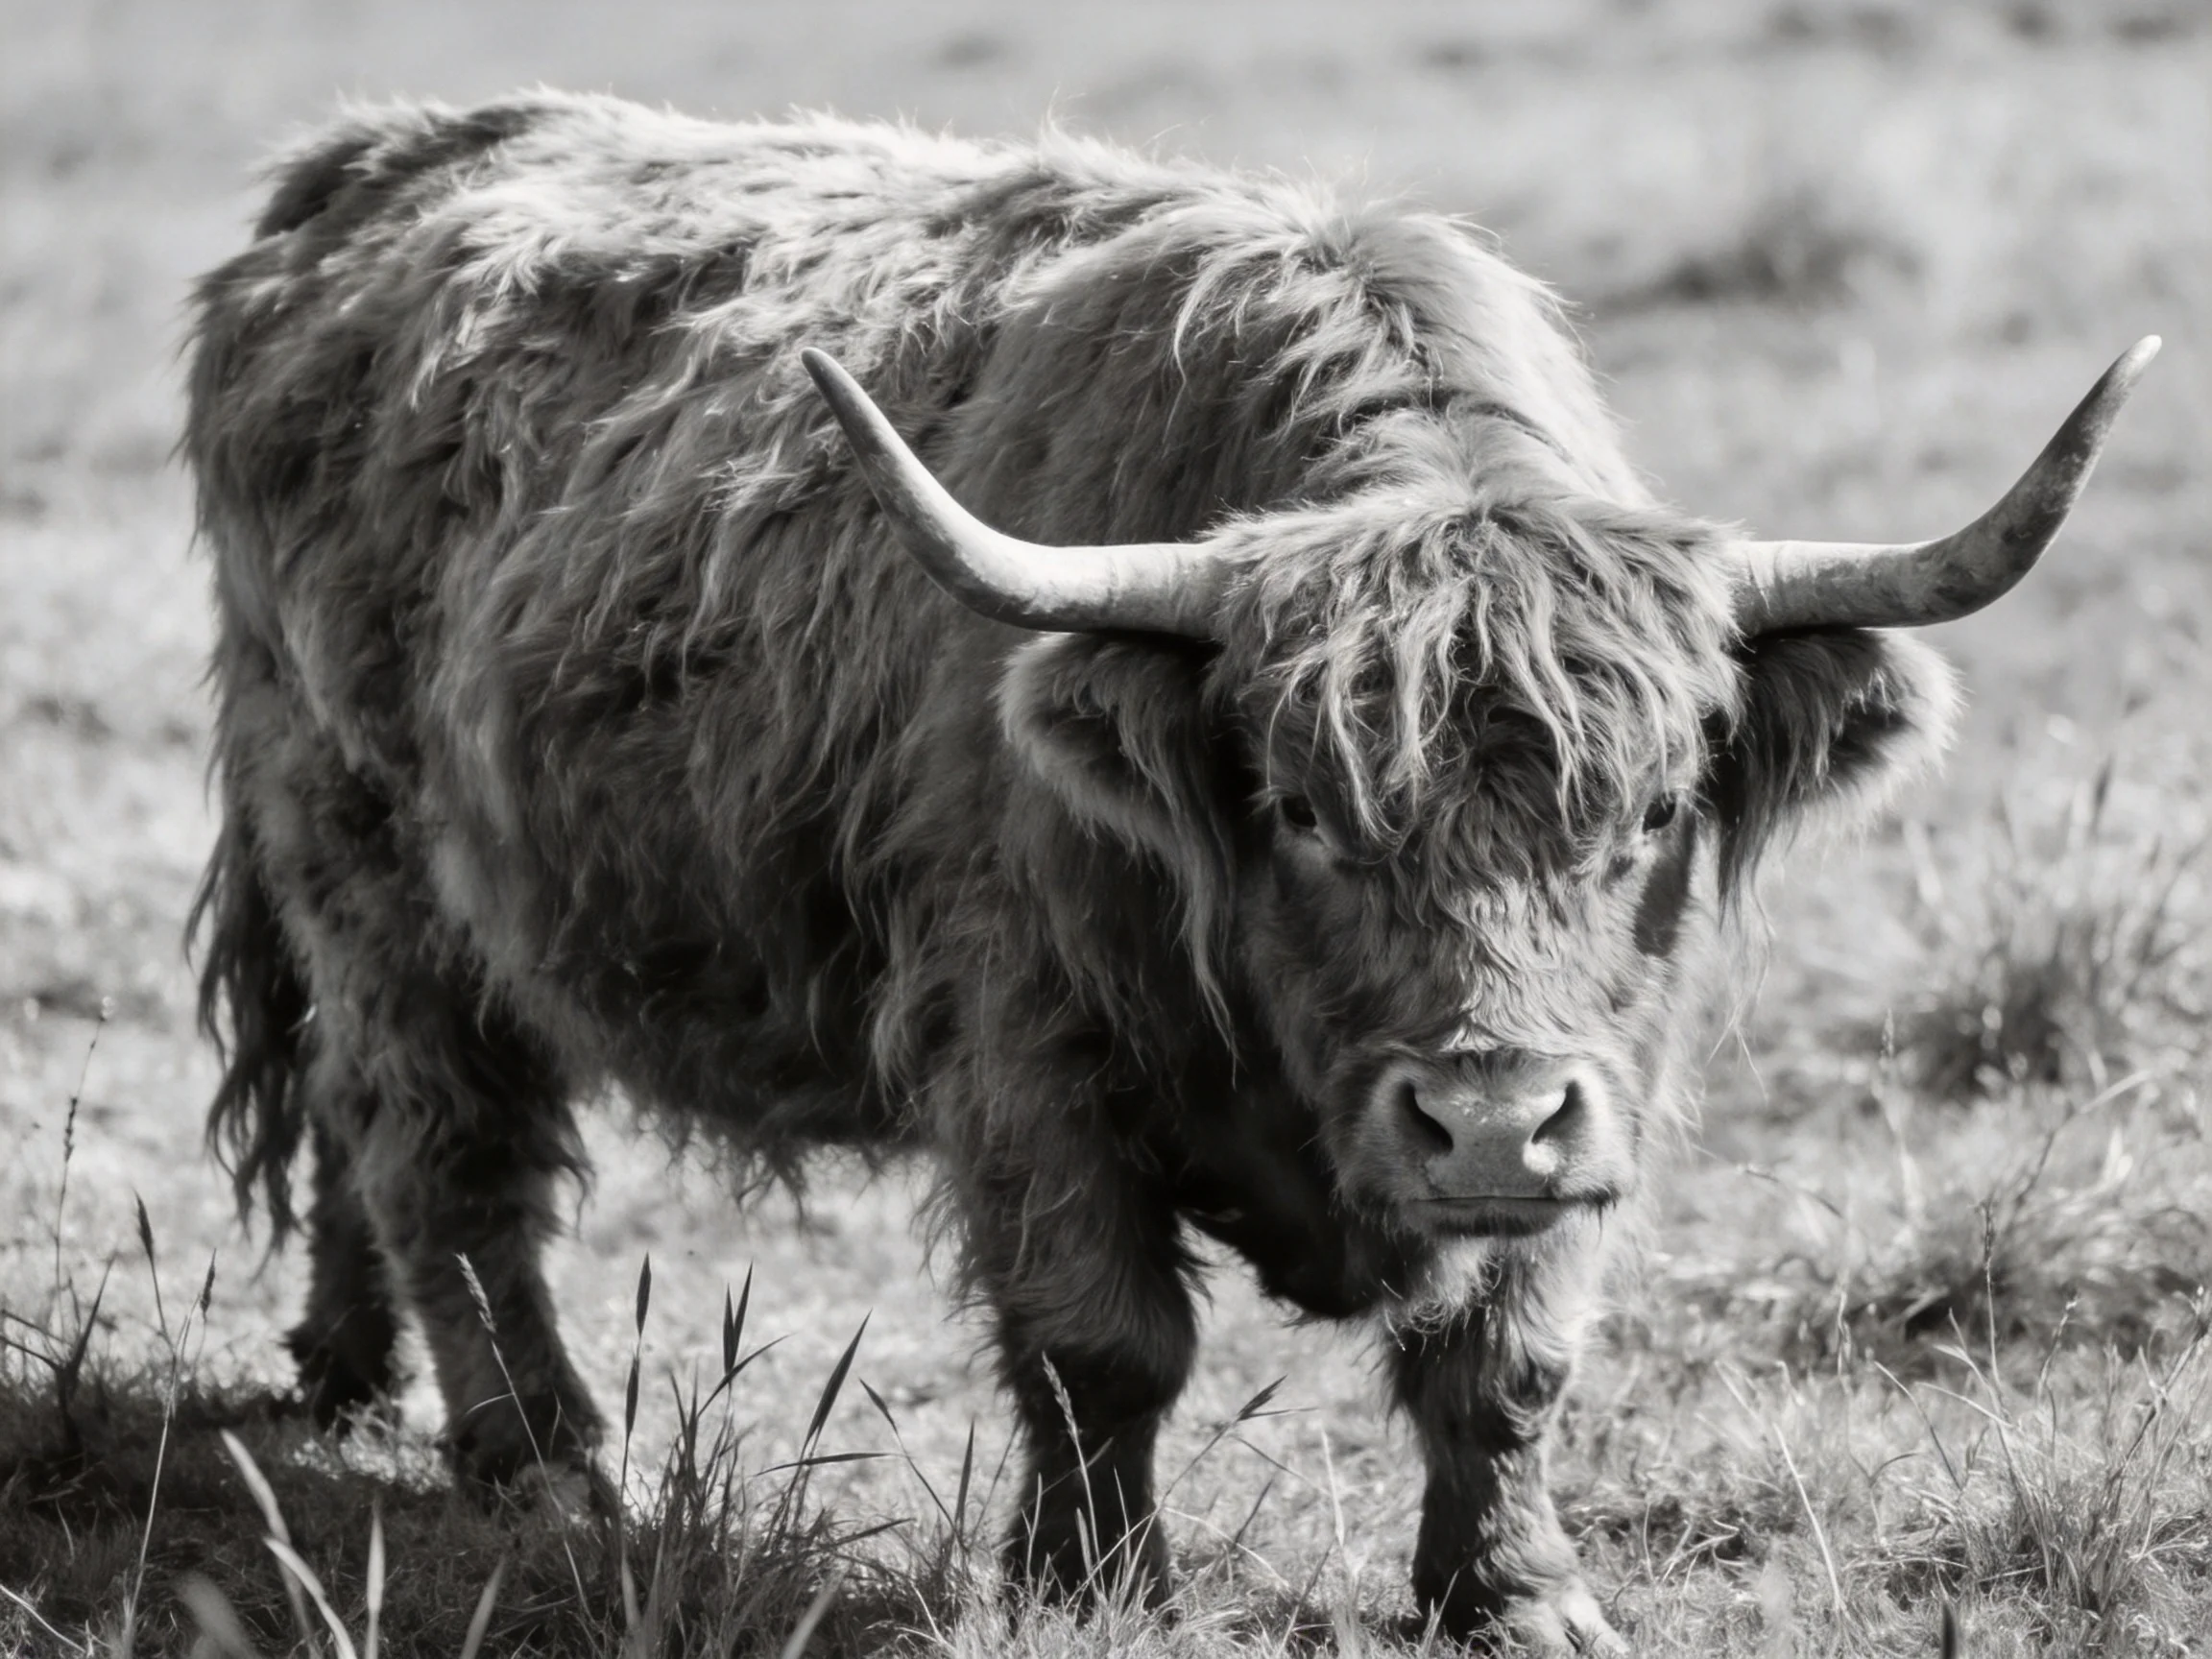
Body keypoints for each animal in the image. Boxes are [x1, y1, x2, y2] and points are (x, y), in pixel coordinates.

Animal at [183, 92, 2153, 1653]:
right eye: (1295, 802)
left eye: (1658, 804)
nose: (1481, 1121)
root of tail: (370, 167)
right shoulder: (1022, 1044)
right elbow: (1100, 1338)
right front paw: (1095, 1590)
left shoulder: (1615, 1080)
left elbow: (1505, 1361)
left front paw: (1515, 1599)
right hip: (369, 861)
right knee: (444, 1150)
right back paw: (543, 1461)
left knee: (362, 1130)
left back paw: (347, 1371)